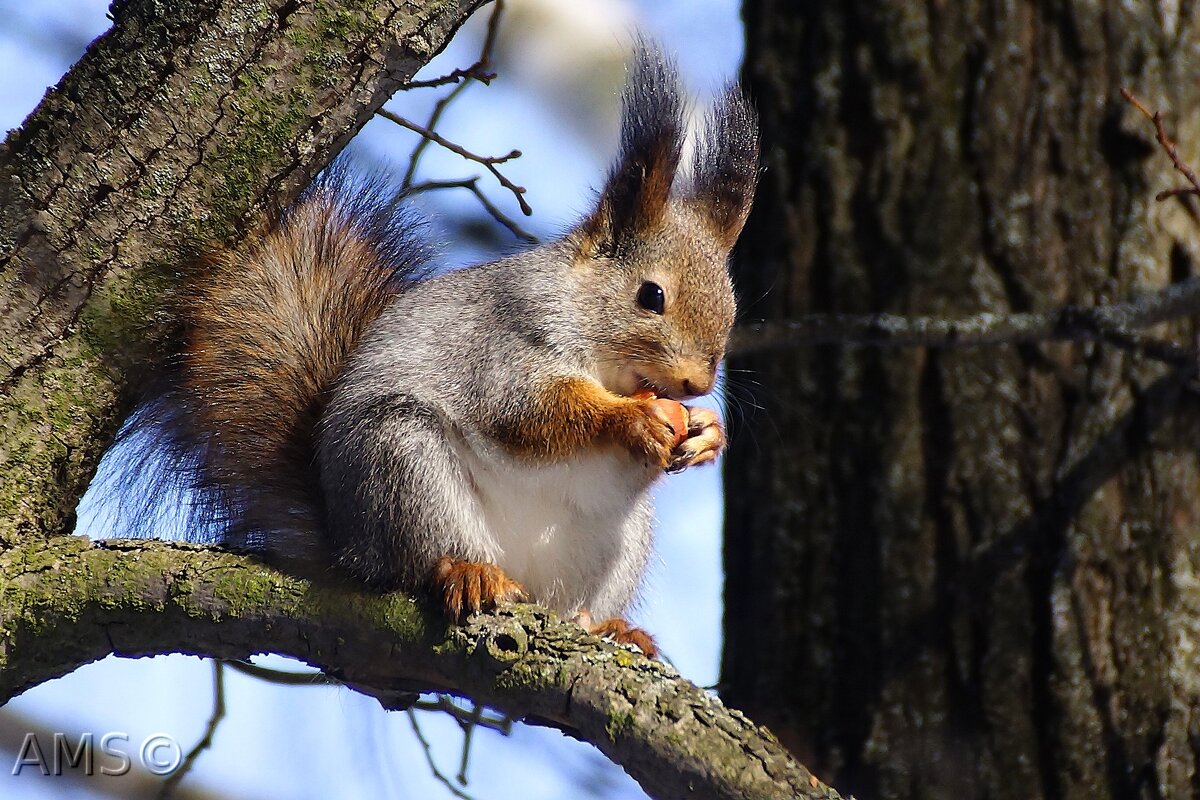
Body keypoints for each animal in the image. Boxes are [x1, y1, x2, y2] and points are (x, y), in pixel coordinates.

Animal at [124, 48, 758, 657]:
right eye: (651, 296)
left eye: (731, 305)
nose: (697, 384)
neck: (604, 355)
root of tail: (348, 549)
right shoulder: (506, 342)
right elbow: (530, 412)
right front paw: (631, 420)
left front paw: (708, 433)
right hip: (403, 464)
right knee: (421, 560)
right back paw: (465, 572)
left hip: (616, 543)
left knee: (572, 603)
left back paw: (605, 627)